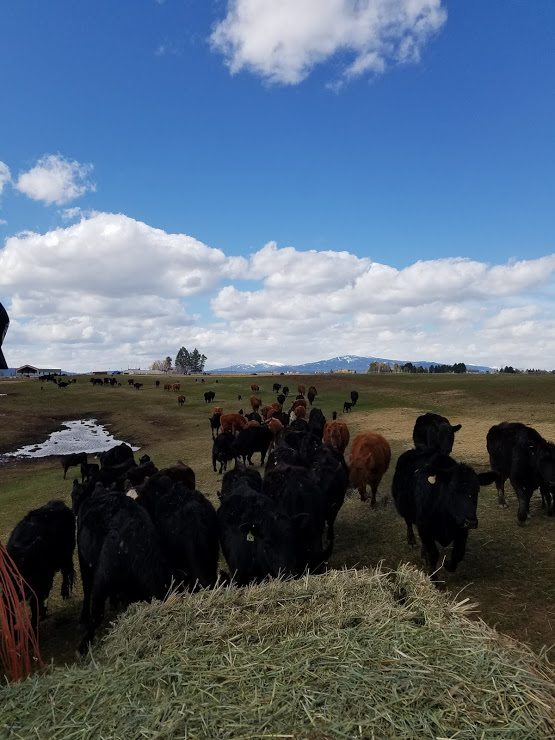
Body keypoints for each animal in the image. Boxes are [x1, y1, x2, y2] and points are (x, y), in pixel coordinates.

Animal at [6, 498, 75, 632]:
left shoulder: (41, 581)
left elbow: (35, 602)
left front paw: (34, 625)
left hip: (66, 555)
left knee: (66, 572)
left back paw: (64, 592)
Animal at [390, 448, 496, 580]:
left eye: (477, 490)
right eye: (451, 489)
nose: (471, 522)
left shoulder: (462, 530)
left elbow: (458, 554)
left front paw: (447, 564)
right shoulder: (424, 527)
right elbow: (433, 554)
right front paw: (433, 578)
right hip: (404, 508)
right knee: (408, 523)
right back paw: (411, 541)